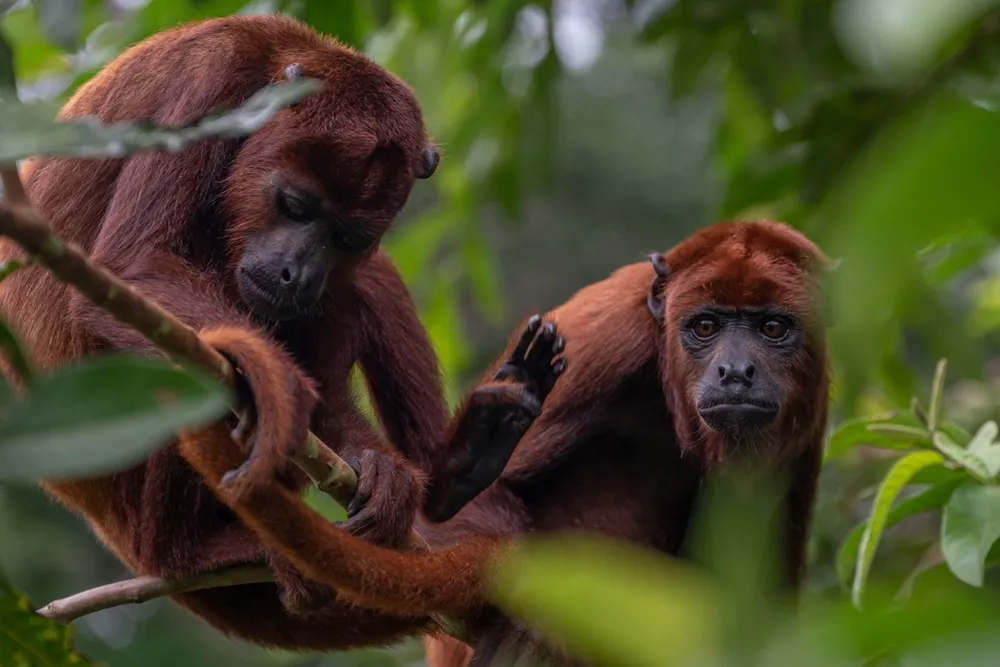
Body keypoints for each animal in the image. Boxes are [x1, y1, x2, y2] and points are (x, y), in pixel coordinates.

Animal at [0, 14, 567, 651]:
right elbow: (134, 265)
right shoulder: (207, 83)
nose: (299, 271)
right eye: (295, 205)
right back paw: (197, 549)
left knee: (370, 280)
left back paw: (455, 465)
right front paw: (276, 381)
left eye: (345, 236)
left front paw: (381, 464)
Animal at [180, 220, 830, 665]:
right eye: (705, 326)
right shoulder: (605, 338)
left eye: (774, 327)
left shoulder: (808, 415)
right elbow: (437, 515)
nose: (736, 373)